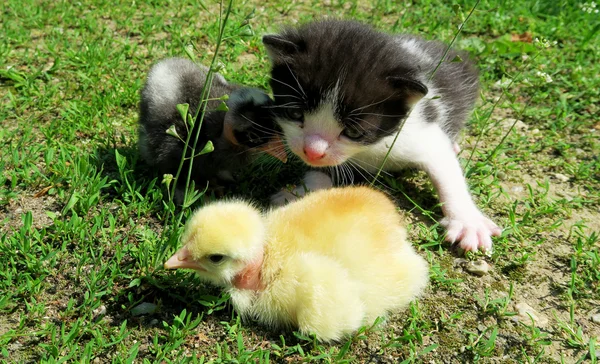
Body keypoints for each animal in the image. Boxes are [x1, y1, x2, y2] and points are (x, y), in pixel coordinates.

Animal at [262, 19, 502, 253]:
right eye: (295, 113)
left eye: (353, 132)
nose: (312, 152)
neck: (369, 149)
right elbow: (322, 170)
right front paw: (300, 194)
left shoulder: (421, 131)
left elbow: (446, 172)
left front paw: (468, 222)